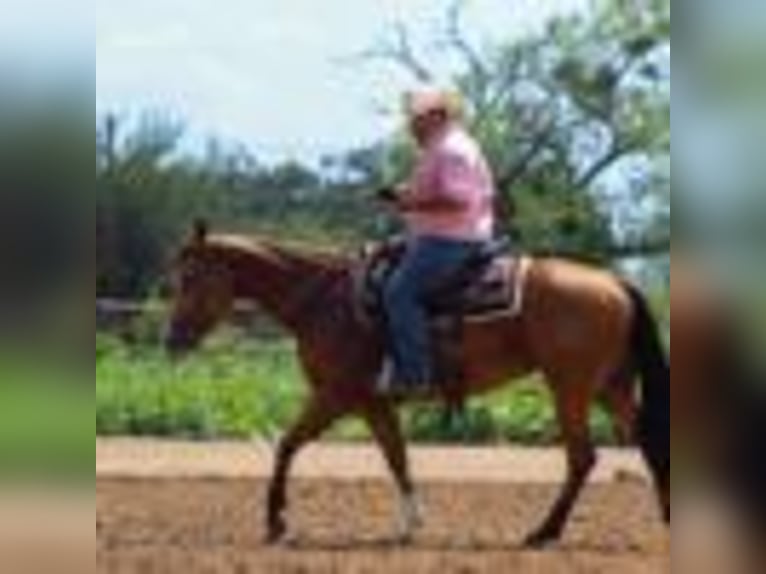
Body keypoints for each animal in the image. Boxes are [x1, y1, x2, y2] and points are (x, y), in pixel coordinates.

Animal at [164, 221, 669, 547]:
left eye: (189, 277)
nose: (171, 339)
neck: (326, 300)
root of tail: (615, 283)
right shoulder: (374, 404)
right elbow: (397, 457)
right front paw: (411, 524)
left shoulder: (336, 395)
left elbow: (287, 444)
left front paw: (276, 522)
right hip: (609, 387)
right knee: (647, 441)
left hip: (571, 388)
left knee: (582, 458)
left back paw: (544, 532)